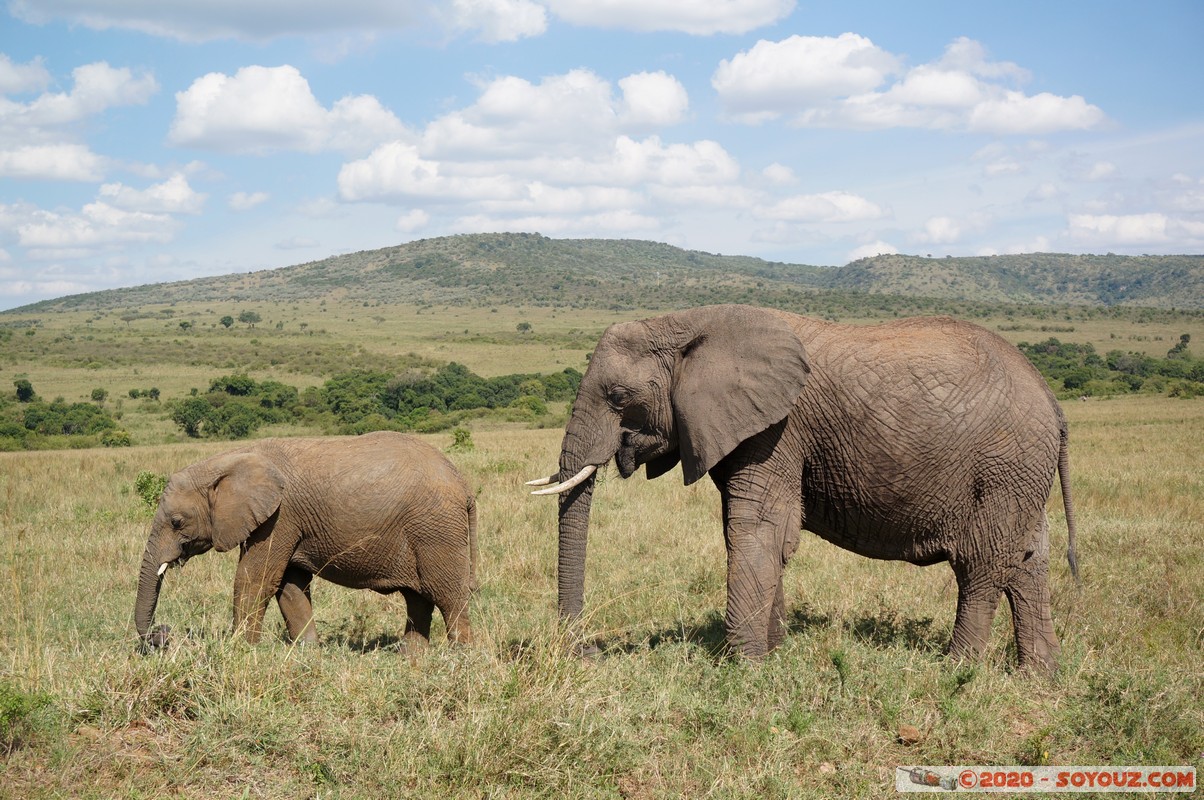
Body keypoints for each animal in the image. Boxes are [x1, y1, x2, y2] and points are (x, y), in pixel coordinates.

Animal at [134, 431, 476, 650]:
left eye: (177, 522)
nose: (162, 634)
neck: (231, 460)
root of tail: (462, 482)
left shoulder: (280, 516)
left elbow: (256, 579)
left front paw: (239, 649)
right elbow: (290, 585)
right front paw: (308, 652)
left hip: (436, 528)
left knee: (447, 594)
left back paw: (460, 656)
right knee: (418, 597)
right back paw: (411, 657)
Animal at [532, 303, 1078, 669]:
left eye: (618, 396)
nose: (587, 653)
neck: (684, 323)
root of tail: (1053, 401)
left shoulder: (777, 430)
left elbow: (757, 527)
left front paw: (745, 668)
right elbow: (759, 534)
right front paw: (773, 653)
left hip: (1003, 467)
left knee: (981, 565)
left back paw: (956, 669)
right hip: (1022, 474)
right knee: (1029, 559)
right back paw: (1038, 676)